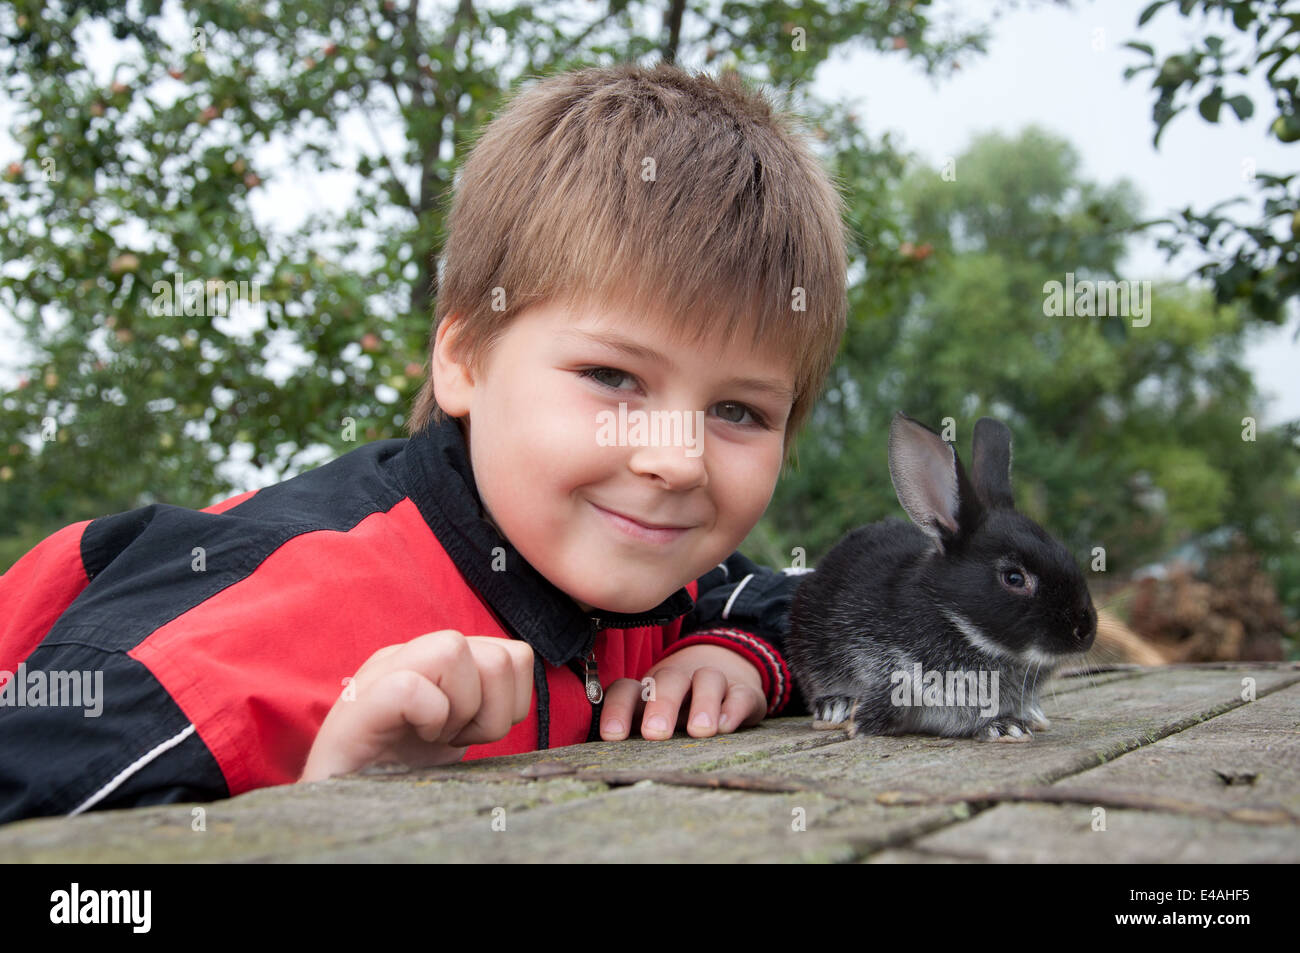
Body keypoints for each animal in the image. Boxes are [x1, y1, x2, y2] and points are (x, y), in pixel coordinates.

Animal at [780, 413, 1097, 738]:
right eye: (1014, 578)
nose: (1085, 631)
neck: (955, 620)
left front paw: (1025, 717)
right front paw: (1004, 726)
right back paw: (835, 706)